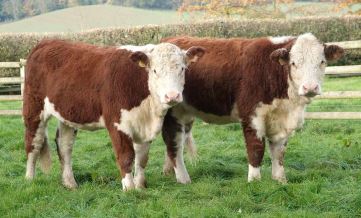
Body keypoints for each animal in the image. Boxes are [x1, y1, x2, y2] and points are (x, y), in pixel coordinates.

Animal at [23, 39, 205, 191]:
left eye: (182, 69)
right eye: (154, 70)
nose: (172, 96)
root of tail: (47, 42)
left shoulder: (144, 125)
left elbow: (142, 157)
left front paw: (140, 185)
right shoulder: (117, 124)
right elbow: (126, 156)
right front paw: (129, 188)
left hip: (68, 114)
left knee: (64, 145)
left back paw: (70, 183)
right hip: (34, 109)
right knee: (34, 143)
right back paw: (30, 179)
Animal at [158, 33, 344, 184]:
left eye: (322, 62)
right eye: (294, 63)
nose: (310, 87)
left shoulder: (281, 120)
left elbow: (279, 151)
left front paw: (280, 180)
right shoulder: (252, 115)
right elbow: (256, 148)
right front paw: (254, 181)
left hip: (185, 113)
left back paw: (168, 172)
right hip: (172, 112)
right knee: (174, 143)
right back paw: (182, 178)